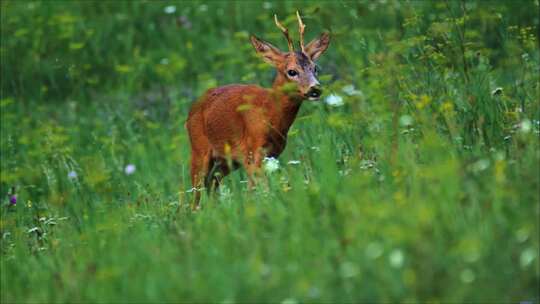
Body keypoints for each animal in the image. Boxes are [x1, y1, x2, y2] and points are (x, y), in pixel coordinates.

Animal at [186, 11, 330, 207]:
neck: (270, 114)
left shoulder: (271, 155)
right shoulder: (252, 152)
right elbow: (262, 191)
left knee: (212, 182)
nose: (315, 89)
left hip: (226, 160)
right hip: (199, 149)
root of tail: (192, 109)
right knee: (196, 192)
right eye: (292, 71)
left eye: (315, 68)